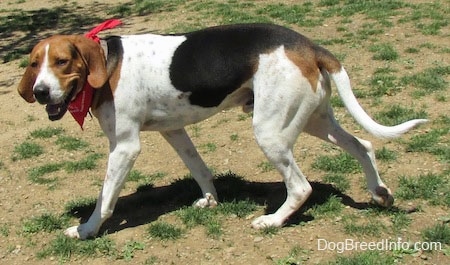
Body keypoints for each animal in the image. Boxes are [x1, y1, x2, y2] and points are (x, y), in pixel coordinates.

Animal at [15, 22, 428, 238]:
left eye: (62, 62)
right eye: (35, 64)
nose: (40, 92)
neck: (108, 63)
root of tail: (307, 44)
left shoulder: (125, 147)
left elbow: (105, 198)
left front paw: (85, 230)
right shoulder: (174, 132)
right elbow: (199, 168)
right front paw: (210, 200)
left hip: (271, 131)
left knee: (301, 186)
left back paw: (272, 221)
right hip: (314, 119)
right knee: (363, 146)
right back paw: (379, 193)